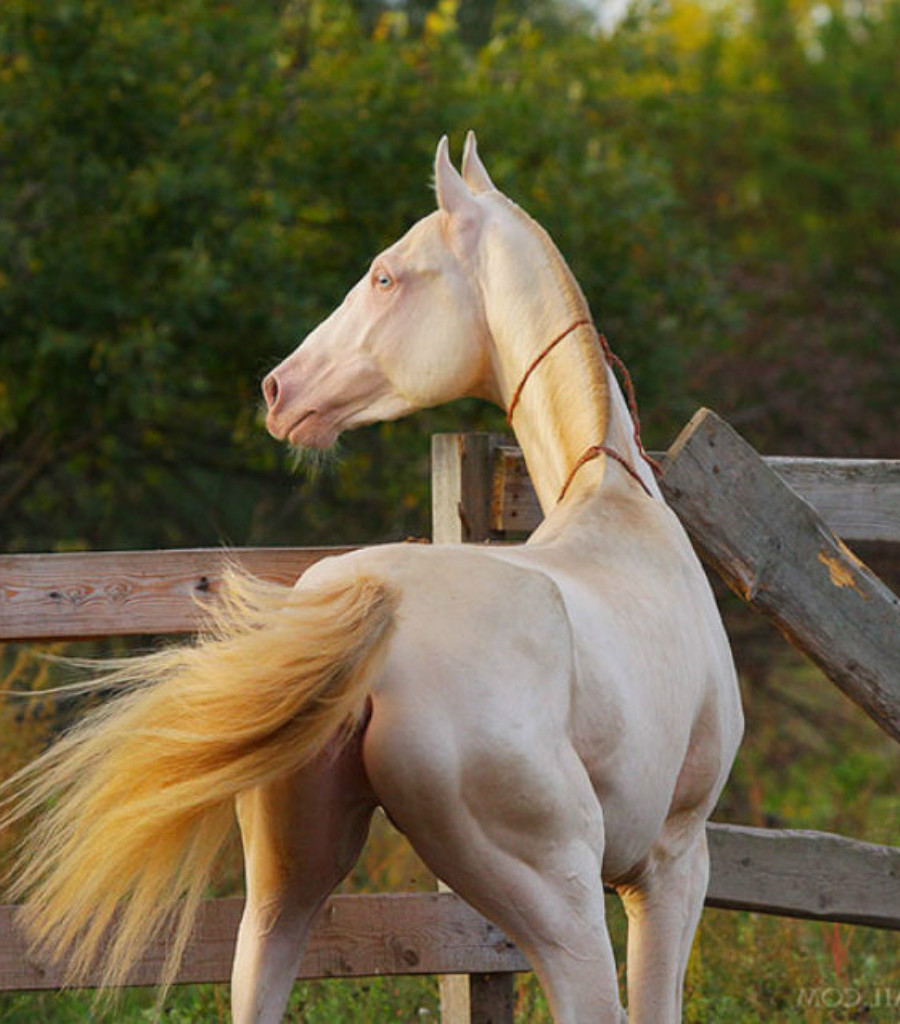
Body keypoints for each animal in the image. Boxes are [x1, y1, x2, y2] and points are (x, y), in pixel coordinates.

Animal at [1, 134, 743, 1023]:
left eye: (387, 276)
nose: (278, 390)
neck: (619, 505)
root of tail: (367, 618)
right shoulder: (669, 865)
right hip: (560, 900)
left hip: (282, 893)